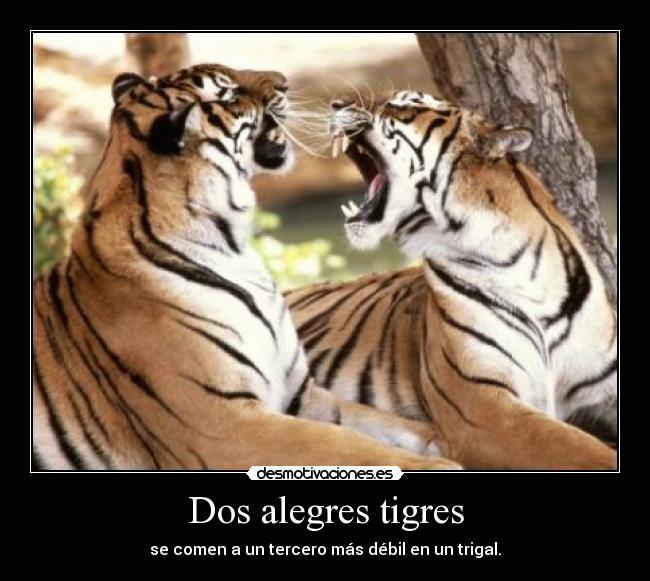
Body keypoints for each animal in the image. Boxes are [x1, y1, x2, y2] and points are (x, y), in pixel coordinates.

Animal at [32, 66, 462, 470]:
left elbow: (388, 427)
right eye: (228, 93)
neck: (233, 244)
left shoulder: (300, 396)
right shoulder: (220, 423)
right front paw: (437, 465)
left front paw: (444, 442)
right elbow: (349, 446)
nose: (284, 81)